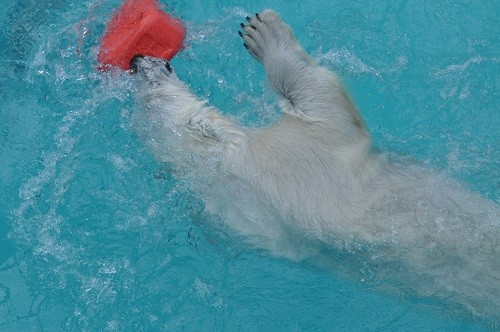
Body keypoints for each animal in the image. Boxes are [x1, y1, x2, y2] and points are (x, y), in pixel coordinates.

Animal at [130, 11, 500, 320]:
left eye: (146, 94)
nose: (137, 60)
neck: (222, 166)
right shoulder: (301, 160)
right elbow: (323, 99)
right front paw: (263, 32)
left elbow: (322, 99)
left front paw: (259, 30)